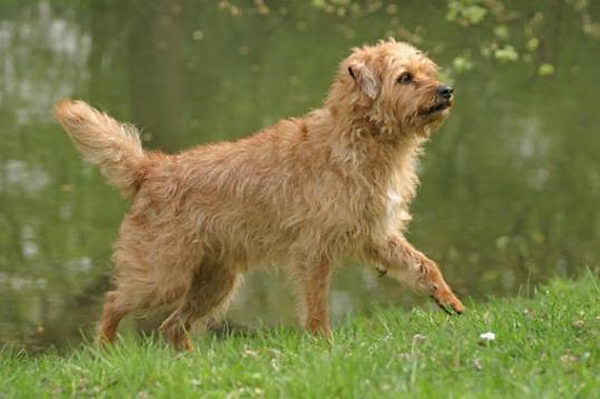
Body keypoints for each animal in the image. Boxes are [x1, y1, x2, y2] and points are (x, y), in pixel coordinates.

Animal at [55, 37, 464, 350]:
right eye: (405, 77)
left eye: (427, 71)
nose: (446, 90)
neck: (357, 138)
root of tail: (151, 169)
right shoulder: (314, 252)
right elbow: (317, 306)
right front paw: (325, 345)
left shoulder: (377, 235)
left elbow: (423, 263)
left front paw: (448, 298)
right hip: (162, 276)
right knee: (114, 302)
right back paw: (108, 350)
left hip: (213, 283)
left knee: (173, 325)